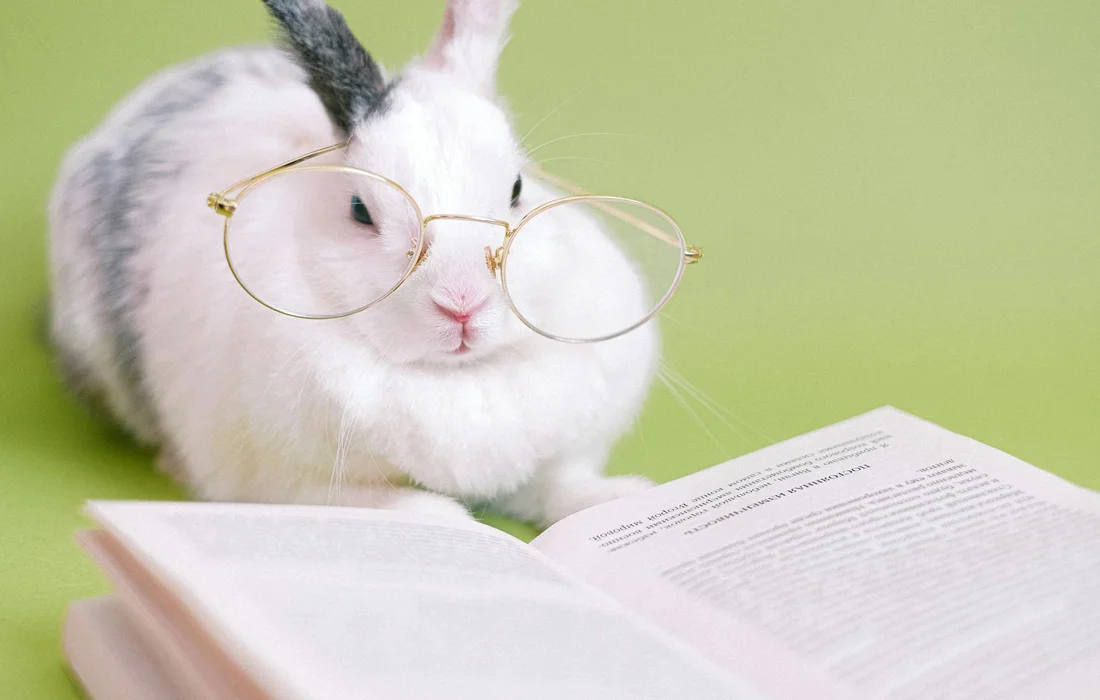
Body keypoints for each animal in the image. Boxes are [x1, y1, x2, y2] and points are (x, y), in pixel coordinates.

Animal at [48, 0, 659, 527]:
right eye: (360, 210)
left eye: (516, 189)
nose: (462, 305)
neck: (454, 378)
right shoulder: (284, 482)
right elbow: (375, 503)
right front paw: (443, 518)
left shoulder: (555, 458)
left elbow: (559, 487)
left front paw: (623, 498)